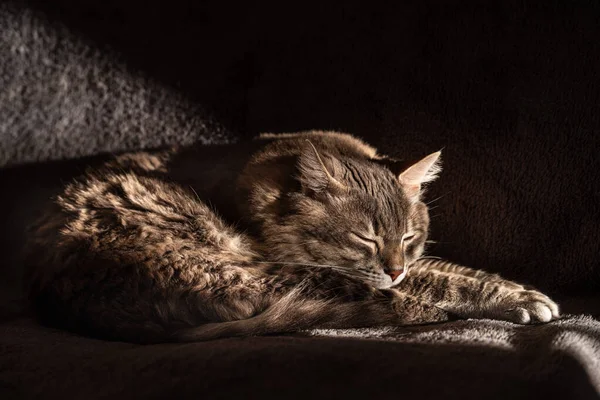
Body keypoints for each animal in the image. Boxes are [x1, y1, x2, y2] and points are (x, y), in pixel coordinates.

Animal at [22, 132, 556, 344]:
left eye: (407, 236)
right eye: (364, 239)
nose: (395, 267)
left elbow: (456, 269)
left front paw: (524, 293)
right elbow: (443, 280)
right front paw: (516, 300)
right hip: (237, 267)